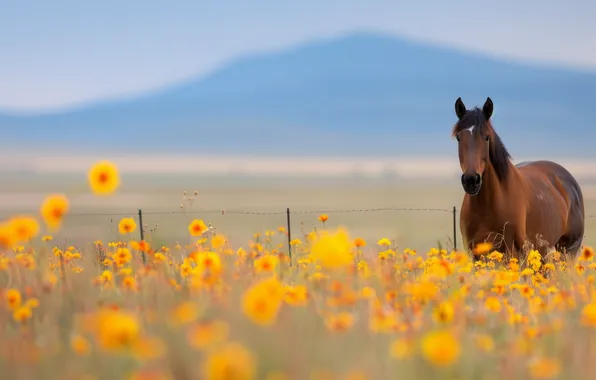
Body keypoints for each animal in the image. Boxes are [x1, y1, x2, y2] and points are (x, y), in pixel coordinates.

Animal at [452, 96, 584, 262]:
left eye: (487, 137)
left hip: (568, 249)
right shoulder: (476, 253)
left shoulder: (515, 251)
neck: (486, 207)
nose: (471, 180)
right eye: (458, 137)